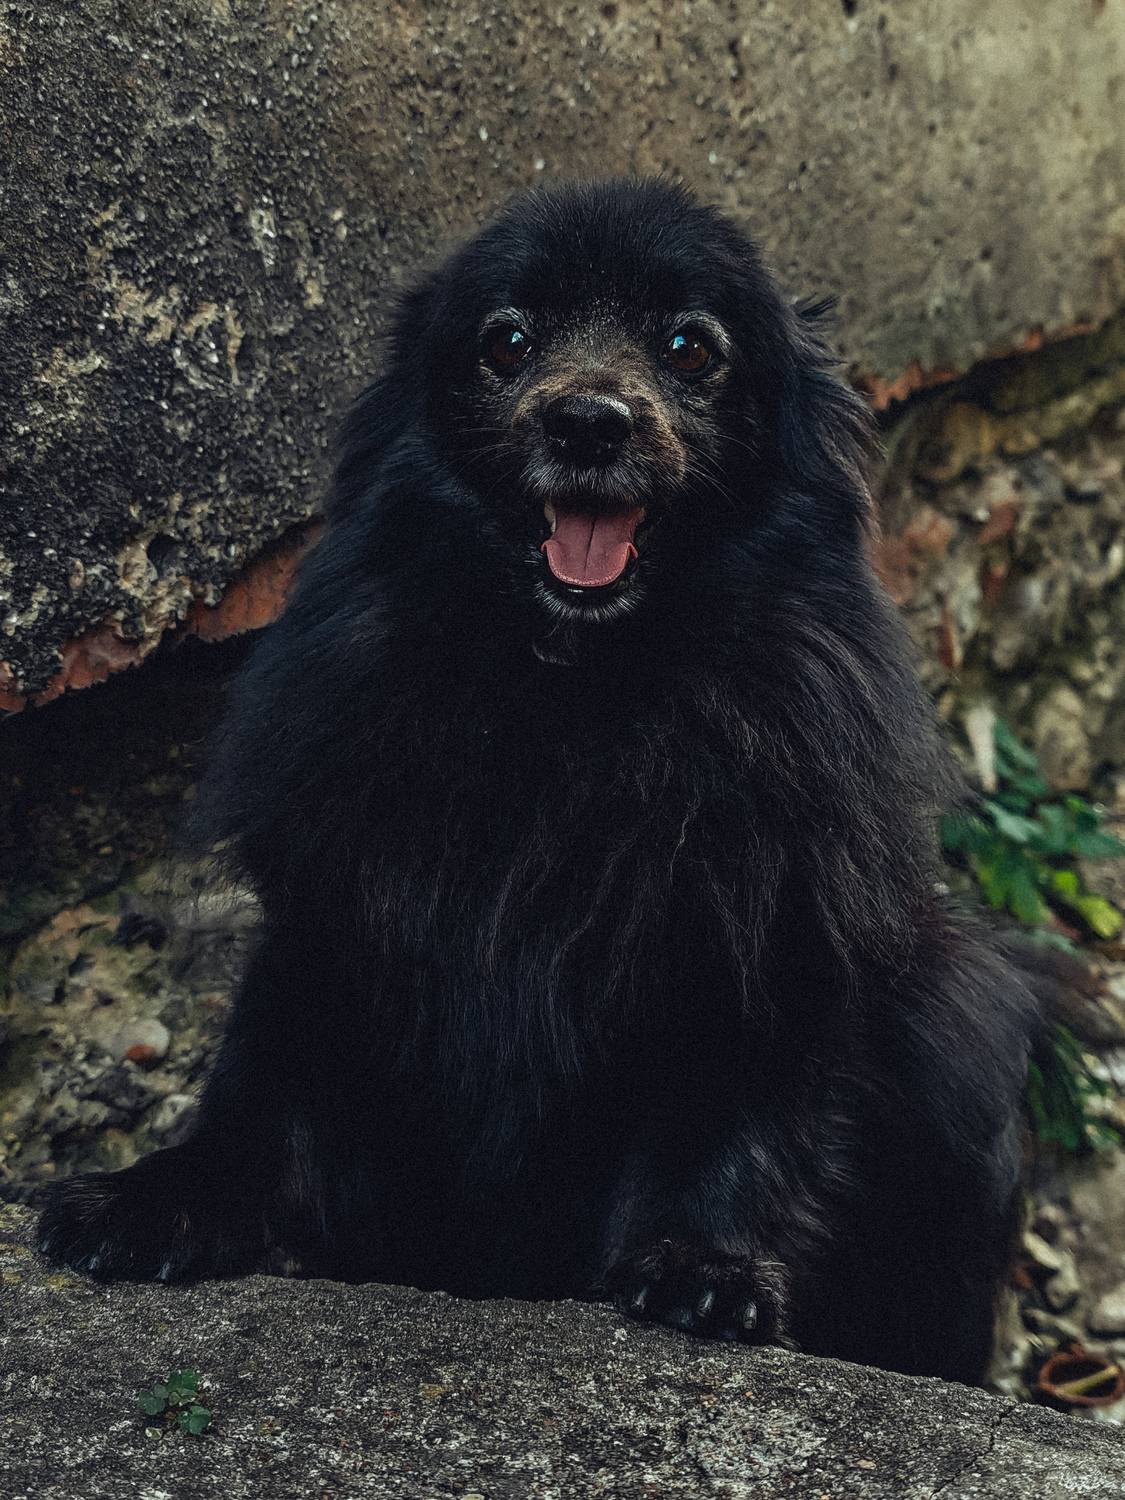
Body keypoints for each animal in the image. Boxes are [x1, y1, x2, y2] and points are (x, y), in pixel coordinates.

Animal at [39, 178, 1038, 1382]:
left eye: (689, 348)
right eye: (506, 341)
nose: (588, 422)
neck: (571, 690)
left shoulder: (763, 942)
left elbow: (735, 1121)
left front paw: (703, 1265)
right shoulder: (337, 919)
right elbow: (256, 1089)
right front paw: (156, 1198)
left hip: (956, 1024)